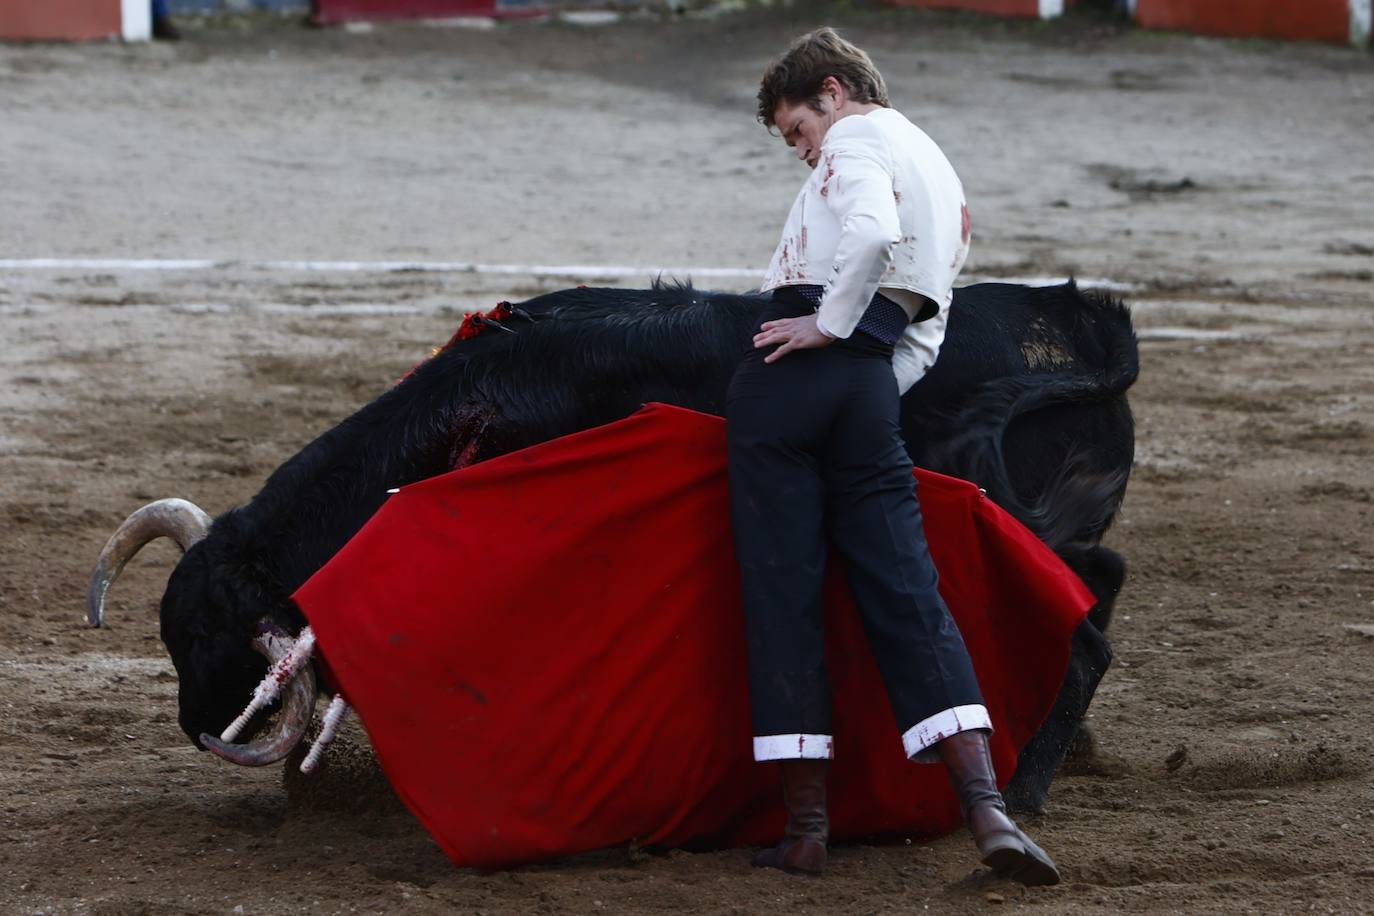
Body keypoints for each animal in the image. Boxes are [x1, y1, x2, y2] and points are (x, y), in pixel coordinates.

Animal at [88, 280, 1137, 818]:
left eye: (210, 642)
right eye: (171, 632)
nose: (191, 723)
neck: (479, 406)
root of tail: (1084, 317)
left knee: (1086, 633)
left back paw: (1026, 790)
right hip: (1046, 526)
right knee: (1097, 587)